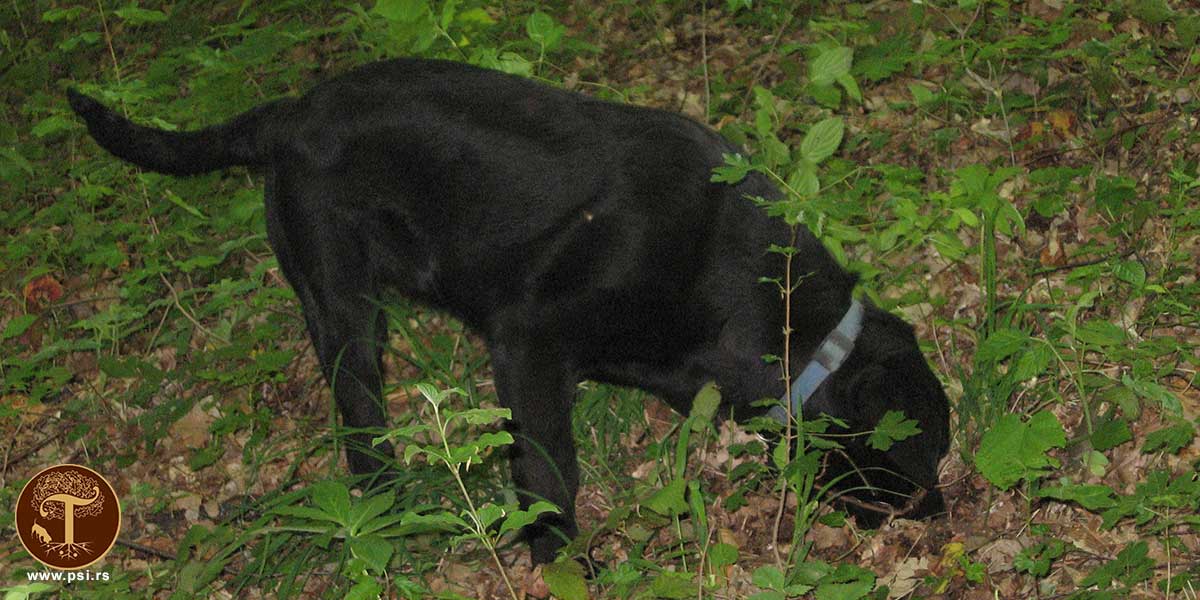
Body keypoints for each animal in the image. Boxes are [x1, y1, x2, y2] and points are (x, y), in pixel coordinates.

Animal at [68, 58, 945, 564]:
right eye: (913, 451)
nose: (935, 517)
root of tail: (288, 111)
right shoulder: (527, 338)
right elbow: (551, 466)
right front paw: (559, 557)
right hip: (344, 307)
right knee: (360, 418)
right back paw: (387, 505)